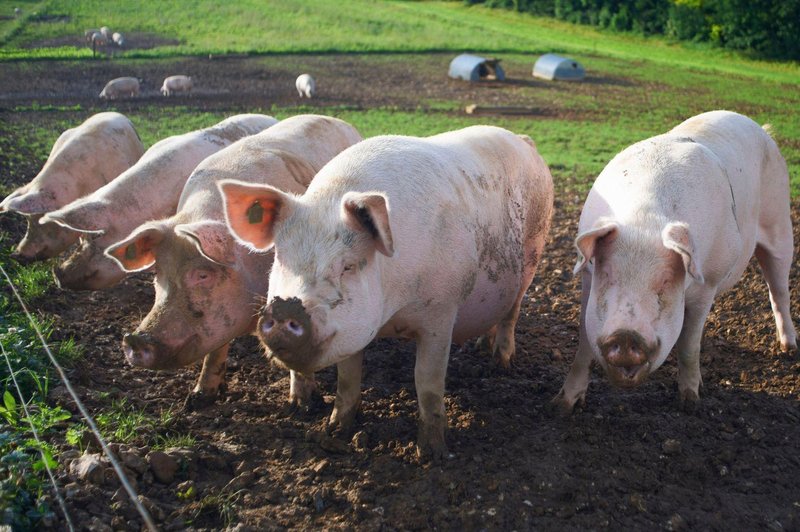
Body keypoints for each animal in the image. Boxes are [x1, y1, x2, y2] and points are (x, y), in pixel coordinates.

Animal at [104, 115, 362, 408]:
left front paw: (303, 406)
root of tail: (336, 120)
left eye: (203, 274)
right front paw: (199, 397)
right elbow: (215, 350)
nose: (136, 339)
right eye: (157, 273)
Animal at [220, 125, 556, 458]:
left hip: (533, 255)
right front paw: (335, 431)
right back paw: (481, 347)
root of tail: (523, 140)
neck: (393, 311)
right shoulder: (354, 328)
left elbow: (427, 381)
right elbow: (348, 378)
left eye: (348, 266)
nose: (286, 308)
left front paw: (431, 453)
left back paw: (501, 361)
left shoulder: (441, 312)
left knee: (512, 312)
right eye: (280, 258)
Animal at [552, 110, 796, 414]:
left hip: (781, 222)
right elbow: (584, 343)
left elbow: (689, 345)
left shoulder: (708, 282)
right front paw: (562, 405)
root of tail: (761, 129)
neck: (643, 222)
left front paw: (690, 401)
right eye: (606, 274)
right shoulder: (586, 276)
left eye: (666, 282)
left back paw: (789, 349)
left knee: (779, 290)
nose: (625, 336)